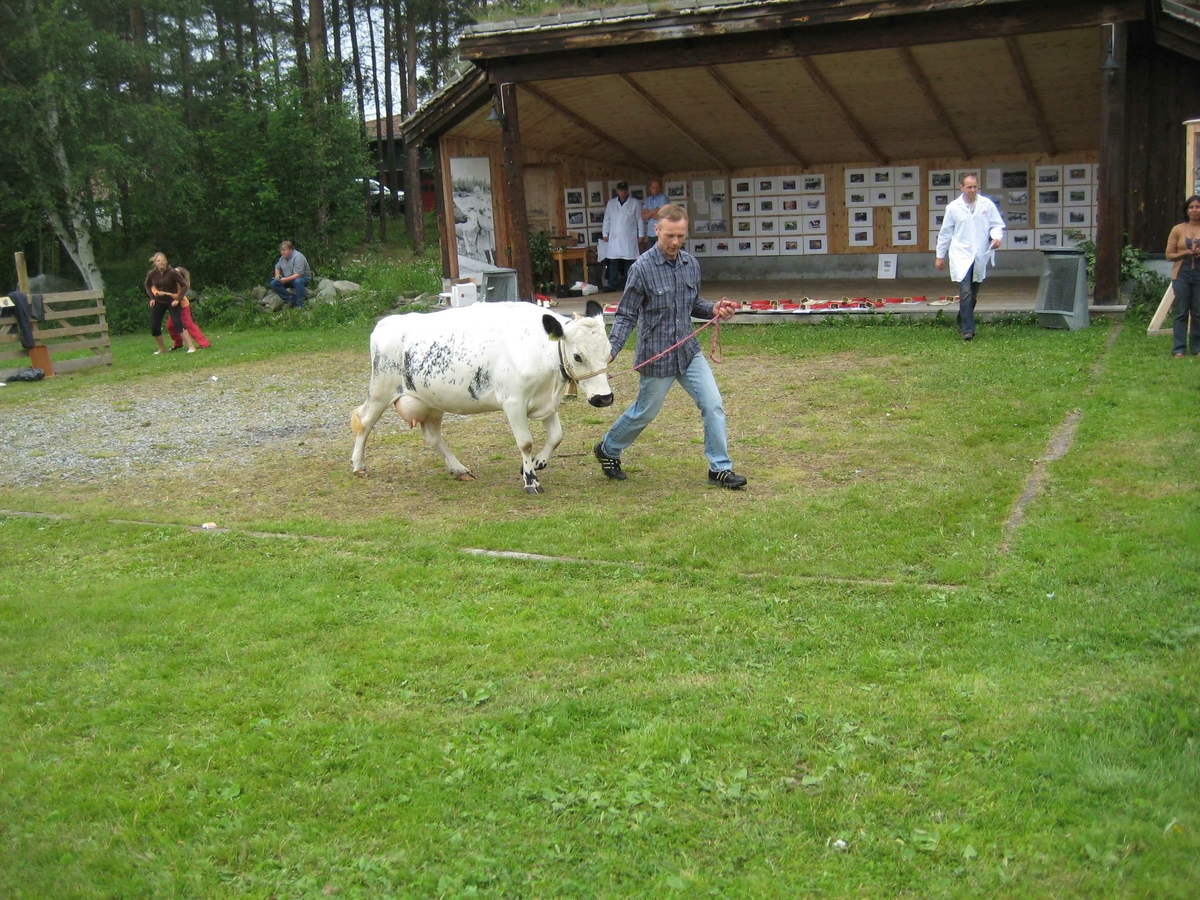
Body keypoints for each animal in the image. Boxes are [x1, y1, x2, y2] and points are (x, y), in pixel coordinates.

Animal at [345, 301, 609, 494]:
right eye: (577, 356)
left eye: (608, 352)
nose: (604, 399)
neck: (541, 351)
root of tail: (387, 322)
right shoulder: (513, 402)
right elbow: (525, 442)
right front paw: (530, 481)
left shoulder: (546, 401)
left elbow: (556, 436)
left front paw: (537, 463)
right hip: (381, 391)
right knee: (364, 421)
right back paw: (358, 466)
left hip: (431, 401)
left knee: (432, 435)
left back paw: (459, 469)